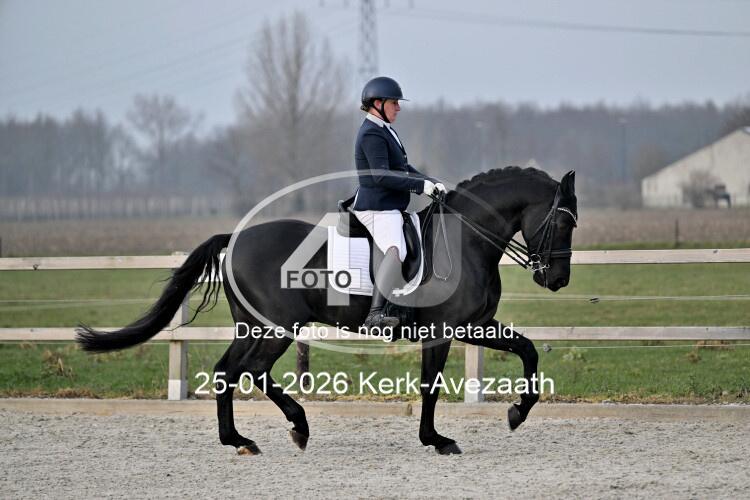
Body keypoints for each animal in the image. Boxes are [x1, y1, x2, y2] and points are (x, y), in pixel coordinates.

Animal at [76, 166, 578, 456]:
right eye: (563, 221)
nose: (556, 280)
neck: (465, 239)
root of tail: (234, 239)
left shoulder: (476, 325)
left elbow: (529, 350)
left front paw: (517, 413)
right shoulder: (445, 330)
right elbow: (431, 387)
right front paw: (437, 440)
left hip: (254, 327)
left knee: (231, 372)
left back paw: (247, 438)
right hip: (275, 329)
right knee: (247, 372)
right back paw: (282, 430)